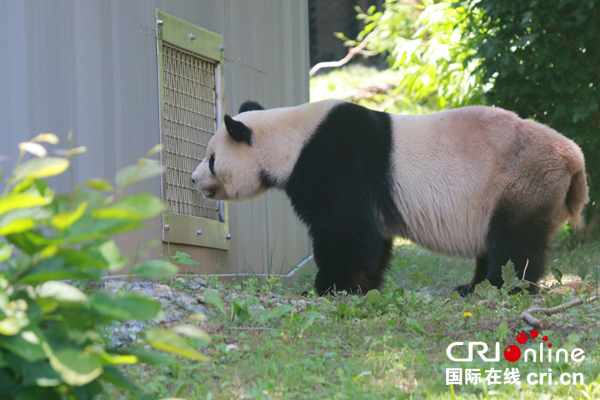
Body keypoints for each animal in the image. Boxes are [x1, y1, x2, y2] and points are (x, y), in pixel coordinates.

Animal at [193, 98, 592, 296]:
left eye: (212, 159)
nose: (194, 178)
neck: (290, 138)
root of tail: (574, 158)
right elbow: (372, 238)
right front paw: (363, 285)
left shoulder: (335, 158)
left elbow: (346, 229)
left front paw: (329, 286)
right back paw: (470, 286)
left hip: (520, 180)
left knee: (514, 242)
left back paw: (504, 287)